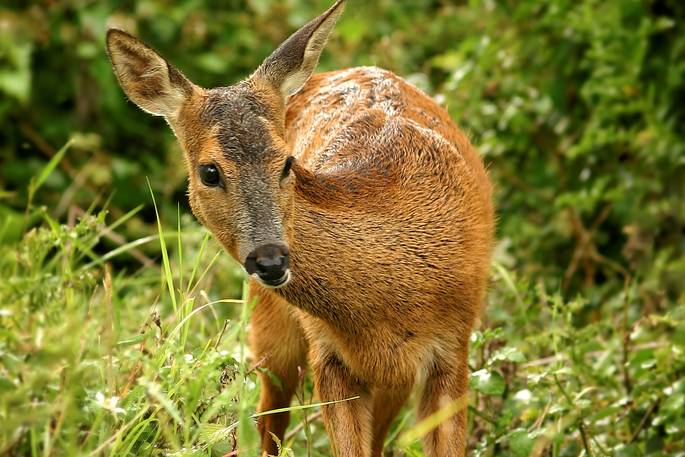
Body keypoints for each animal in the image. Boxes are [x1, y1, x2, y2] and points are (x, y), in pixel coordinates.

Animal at [106, 1, 493, 455]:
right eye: (209, 171)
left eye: (288, 162)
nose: (271, 260)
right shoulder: (327, 355)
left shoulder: (452, 347)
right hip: (269, 326)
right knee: (268, 420)